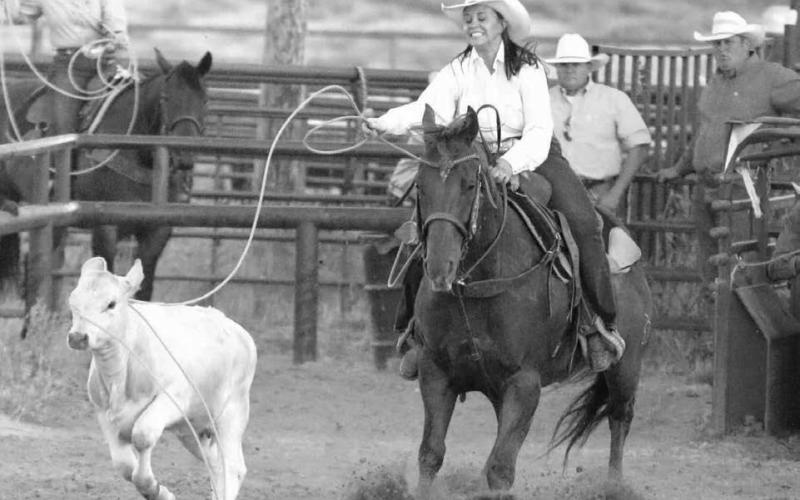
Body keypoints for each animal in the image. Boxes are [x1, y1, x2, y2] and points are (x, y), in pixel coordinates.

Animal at [67, 256, 257, 500]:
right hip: (194, 428)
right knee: (216, 463)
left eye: (111, 304)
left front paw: (155, 490)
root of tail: (240, 333)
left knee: (232, 466)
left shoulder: (172, 399)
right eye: (73, 302)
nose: (77, 337)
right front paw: (159, 491)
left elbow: (142, 436)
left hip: (232, 413)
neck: (120, 372)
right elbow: (124, 465)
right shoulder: (104, 413)